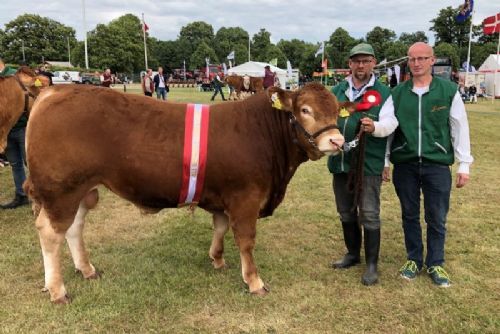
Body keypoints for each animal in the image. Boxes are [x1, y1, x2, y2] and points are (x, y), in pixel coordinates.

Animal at [25, 82, 346, 304]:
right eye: (305, 110)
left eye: (335, 111)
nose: (338, 141)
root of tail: (54, 91)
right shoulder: (246, 198)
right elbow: (246, 240)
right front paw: (254, 282)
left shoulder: (223, 195)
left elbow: (220, 227)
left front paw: (217, 259)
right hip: (60, 191)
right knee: (50, 233)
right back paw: (58, 290)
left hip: (81, 190)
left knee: (74, 228)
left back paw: (87, 269)